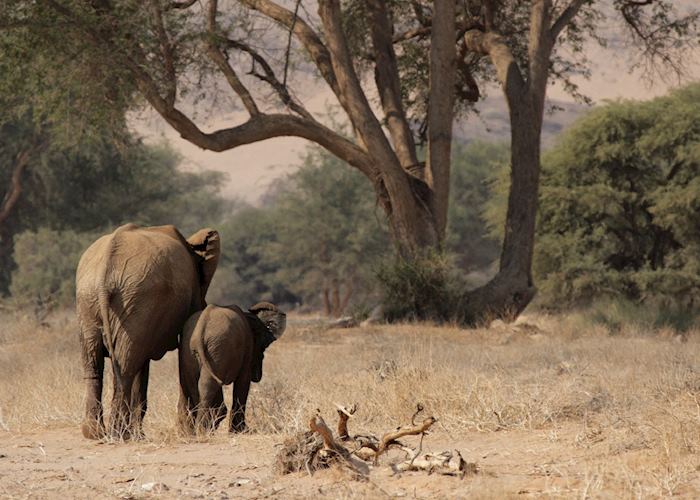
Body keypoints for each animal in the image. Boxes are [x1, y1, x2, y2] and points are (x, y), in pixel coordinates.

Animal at [75, 223, 220, 440]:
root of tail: (104, 272)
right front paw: (185, 432)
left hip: (95, 302)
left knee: (96, 363)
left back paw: (97, 433)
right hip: (133, 301)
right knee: (125, 366)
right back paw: (119, 433)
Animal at [177, 302, 286, 435]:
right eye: (263, 346)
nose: (257, 377)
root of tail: (199, 333)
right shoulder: (247, 349)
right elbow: (243, 382)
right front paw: (242, 431)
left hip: (191, 352)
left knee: (195, 385)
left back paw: (200, 429)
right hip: (218, 349)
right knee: (207, 385)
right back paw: (202, 429)